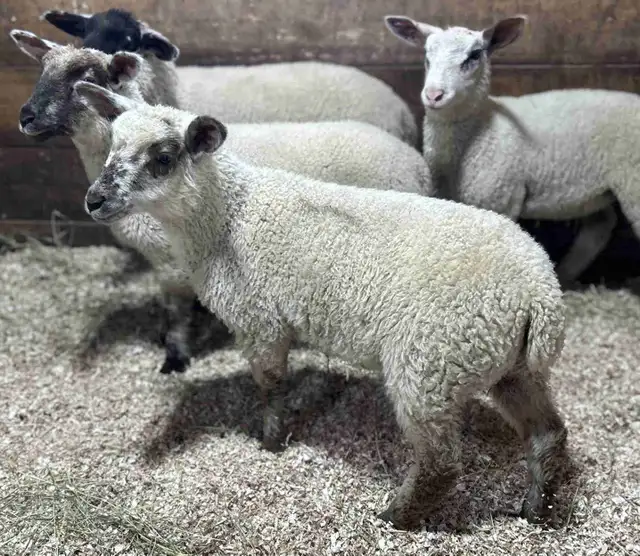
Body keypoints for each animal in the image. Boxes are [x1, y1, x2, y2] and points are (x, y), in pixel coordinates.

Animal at [10, 30, 432, 373]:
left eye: (83, 78)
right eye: (42, 71)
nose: (25, 116)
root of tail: (416, 163)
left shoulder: (172, 261)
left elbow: (177, 313)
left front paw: (176, 357)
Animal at [77, 80, 568, 530]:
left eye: (162, 158)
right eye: (112, 145)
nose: (94, 200)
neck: (230, 216)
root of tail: (540, 294)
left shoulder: (260, 321)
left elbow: (271, 386)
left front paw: (271, 442)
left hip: (432, 367)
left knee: (441, 464)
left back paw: (395, 516)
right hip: (508, 367)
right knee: (548, 433)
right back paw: (534, 510)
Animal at [384, 14, 640, 287]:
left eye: (474, 55)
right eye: (426, 54)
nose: (433, 95)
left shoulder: (503, 198)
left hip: (633, 182)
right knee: (600, 226)